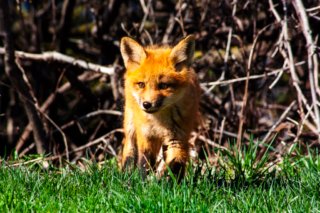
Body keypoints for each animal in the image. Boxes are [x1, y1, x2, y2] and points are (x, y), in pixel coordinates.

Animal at [119, 35, 200, 179]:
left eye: (163, 85)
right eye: (141, 84)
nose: (147, 104)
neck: (158, 121)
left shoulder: (177, 138)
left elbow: (175, 165)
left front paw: (170, 183)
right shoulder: (146, 136)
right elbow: (144, 165)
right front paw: (142, 183)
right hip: (130, 127)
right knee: (129, 152)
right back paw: (126, 176)